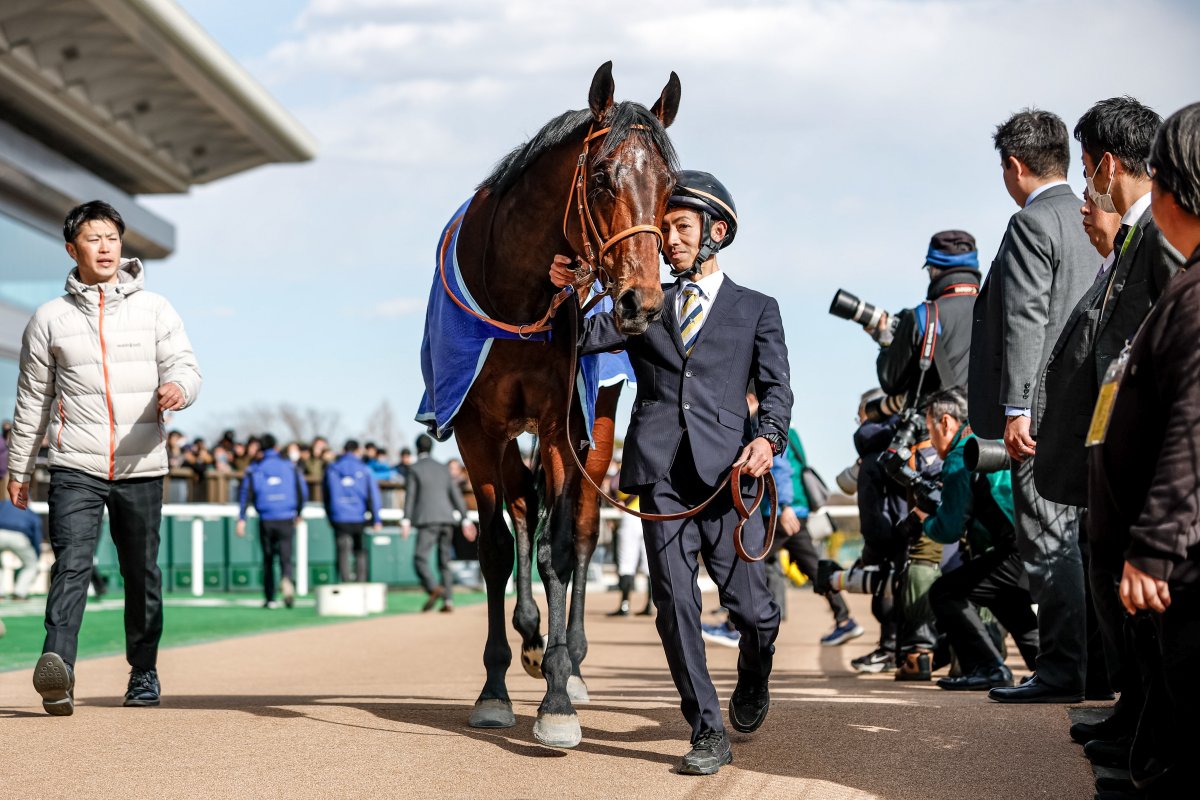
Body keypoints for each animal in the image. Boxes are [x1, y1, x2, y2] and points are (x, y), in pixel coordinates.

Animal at [437, 62, 680, 748]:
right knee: (523, 507)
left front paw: (556, 699)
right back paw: (528, 636)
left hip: (595, 421)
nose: (642, 303)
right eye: (600, 178)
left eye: (670, 187)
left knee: (581, 529)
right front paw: (495, 689)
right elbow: (496, 546)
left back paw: (567, 660)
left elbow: (564, 549)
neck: (514, 295)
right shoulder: (476, 427)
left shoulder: (557, 423)